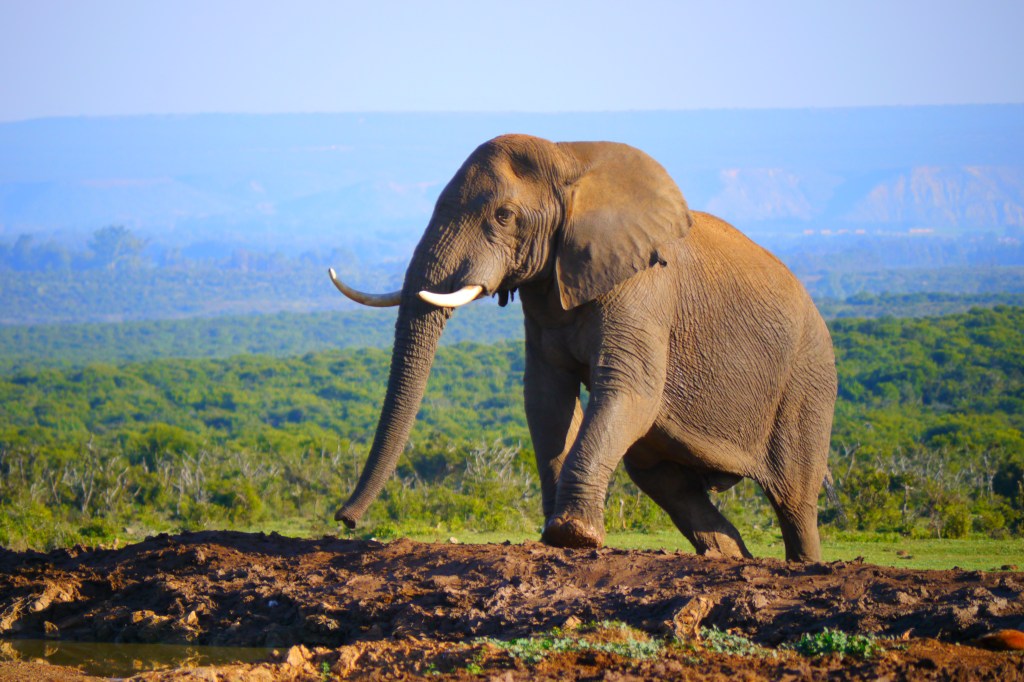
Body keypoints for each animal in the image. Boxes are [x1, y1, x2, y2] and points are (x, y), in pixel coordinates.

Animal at [329, 134, 837, 562]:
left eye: (503, 216)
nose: (345, 520)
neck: (568, 158)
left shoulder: (643, 289)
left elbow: (630, 391)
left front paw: (571, 536)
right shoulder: (545, 290)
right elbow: (545, 396)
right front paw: (557, 536)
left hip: (807, 381)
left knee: (794, 498)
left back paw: (803, 564)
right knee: (662, 477)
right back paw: (729, 558)